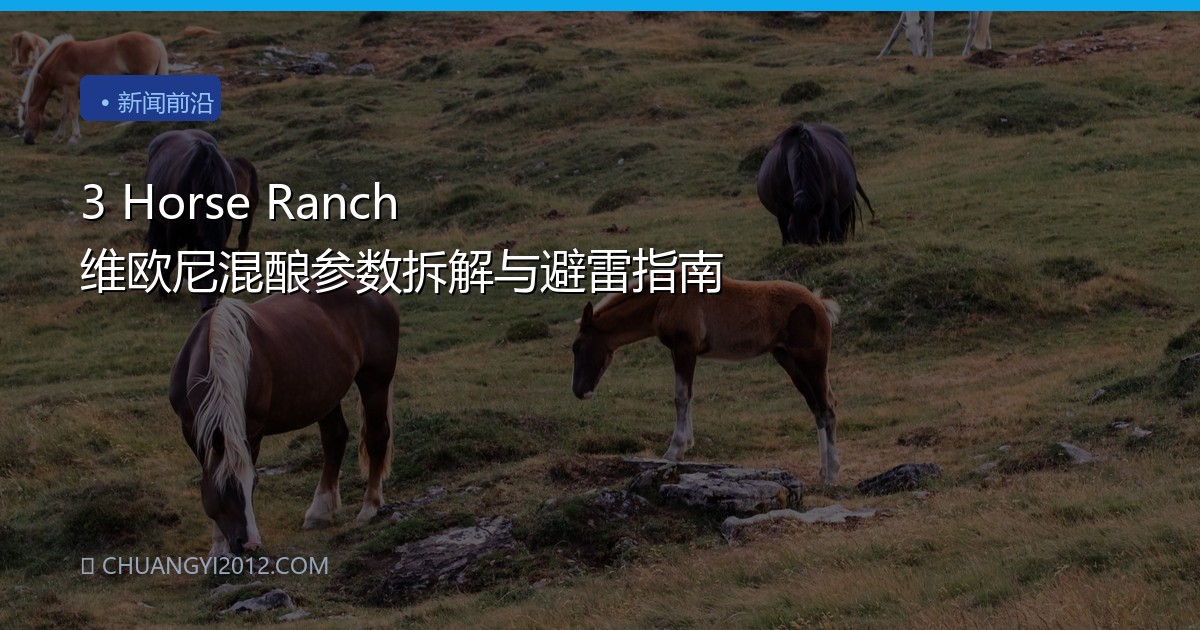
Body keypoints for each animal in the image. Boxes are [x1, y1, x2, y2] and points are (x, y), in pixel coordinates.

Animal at [20, 32, 168, 145]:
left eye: (25, 117)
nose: (27, 139)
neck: (57, 58)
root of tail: (154, 41)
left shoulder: (70, 88)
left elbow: (73, 112)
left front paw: (74, 137)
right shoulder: (66, 91)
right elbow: (64, 114)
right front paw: (58, 138)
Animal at [143, 129, 239, 312]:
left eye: (222, 278)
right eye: (202, 277)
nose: (210, 307)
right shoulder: (172, 228)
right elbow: (172, 258)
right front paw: (162, 292)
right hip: (157, 220)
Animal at [169, 281, 400, 556]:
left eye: (254, 484)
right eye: (225, 488)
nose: (249, 544)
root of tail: (377, 295)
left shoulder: (252, 431)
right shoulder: (192, 431)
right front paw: (218, 548)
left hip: (375, 382)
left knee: (376, 437)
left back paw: (370, 507)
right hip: (326, 395)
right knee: (335, 439)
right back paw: (320, 512)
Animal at [571, 274, 843, 485]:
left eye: (577, 346)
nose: (579, 391)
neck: (666, 297)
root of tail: (819, 304)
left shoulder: (685, 347)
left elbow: (681, 396)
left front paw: (674, 450)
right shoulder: (681, 351)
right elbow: (688, 395)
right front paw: (686, 445)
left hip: (812, 363)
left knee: (827, 408)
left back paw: (832, 474)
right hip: (789, 361)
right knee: (816, 408)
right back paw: (823, 471)